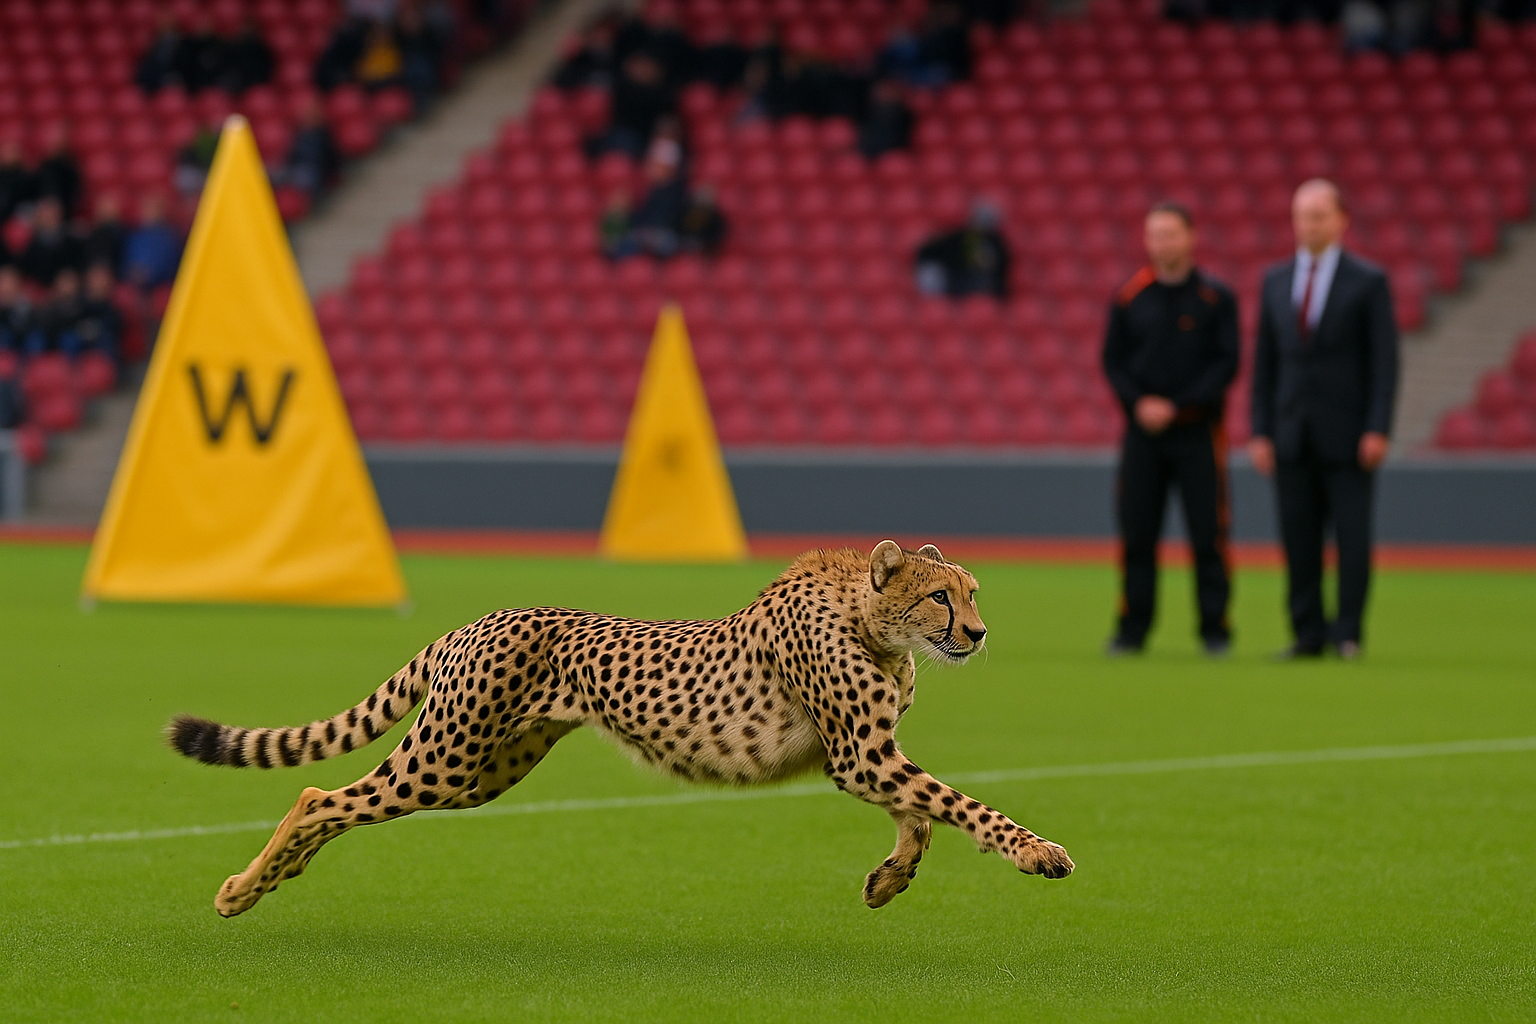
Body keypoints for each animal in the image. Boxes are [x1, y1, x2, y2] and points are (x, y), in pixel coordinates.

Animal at [169, 540, 1074, 917]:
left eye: (975, 594)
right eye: (940, 597)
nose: (978, 634)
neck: (872, 622)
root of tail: (476, 619)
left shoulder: (856, 757)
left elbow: (922, 814)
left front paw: (889, 880)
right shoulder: (861, 755)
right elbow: (960, 805)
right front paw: (1037, 852)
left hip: (480, 774)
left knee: (339, 801)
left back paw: (269, 881)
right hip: (445, 758)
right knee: (319, 794)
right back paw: (239, 891)